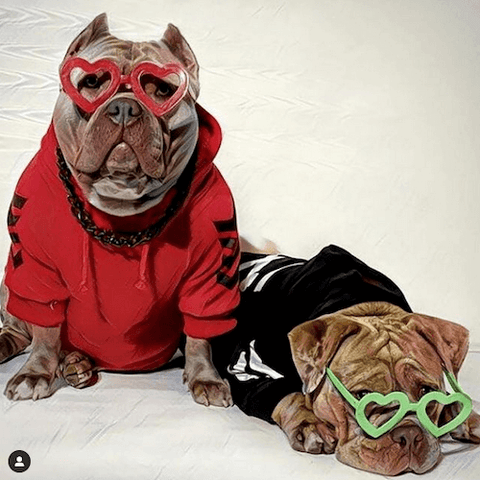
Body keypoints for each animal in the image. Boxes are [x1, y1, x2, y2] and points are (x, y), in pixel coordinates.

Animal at [0, 13, 237, 406]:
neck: (120, 206)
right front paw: (35, 373)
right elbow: (45, 330)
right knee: (21, 328)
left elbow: (200, 334)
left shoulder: (210, 274)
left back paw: (76, 364)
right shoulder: (36, 269)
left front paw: (205, 376)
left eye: (162, 90)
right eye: (92, 82)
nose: (125, 106)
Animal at [272, 302, 478, 474]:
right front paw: (310, 426)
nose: (409, 434)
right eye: (362, 394)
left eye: (426, 391)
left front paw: (470, 420)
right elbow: (293, 397)